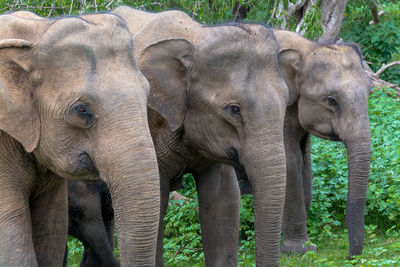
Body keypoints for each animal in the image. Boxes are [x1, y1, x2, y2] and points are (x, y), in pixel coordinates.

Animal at [239, 27, 370, 258]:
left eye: (370, 93)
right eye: (331, 100)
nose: (349, 255)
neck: (306, 48)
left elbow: (304, 160)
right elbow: (289, 162)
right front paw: (300, 250)